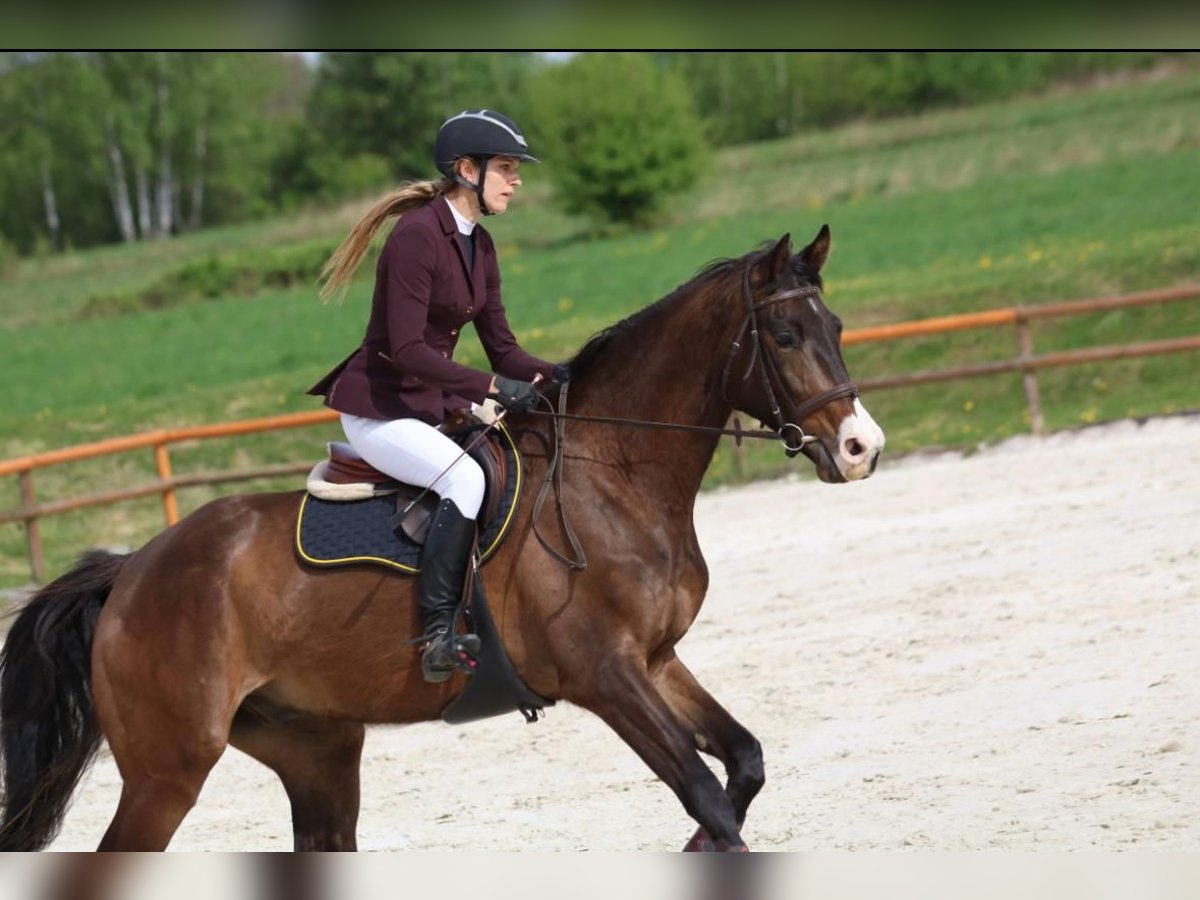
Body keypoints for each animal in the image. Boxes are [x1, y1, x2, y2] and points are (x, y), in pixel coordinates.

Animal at [0, 225, 883, 854]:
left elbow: (743, 765)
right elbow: (709, 797)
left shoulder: (657, 661)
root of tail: (130, 571)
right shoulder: (605, 676)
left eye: (836, 324)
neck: (614, 474)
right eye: (785, 337)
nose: (861, 449)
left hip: (314, 748)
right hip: (169, 769)